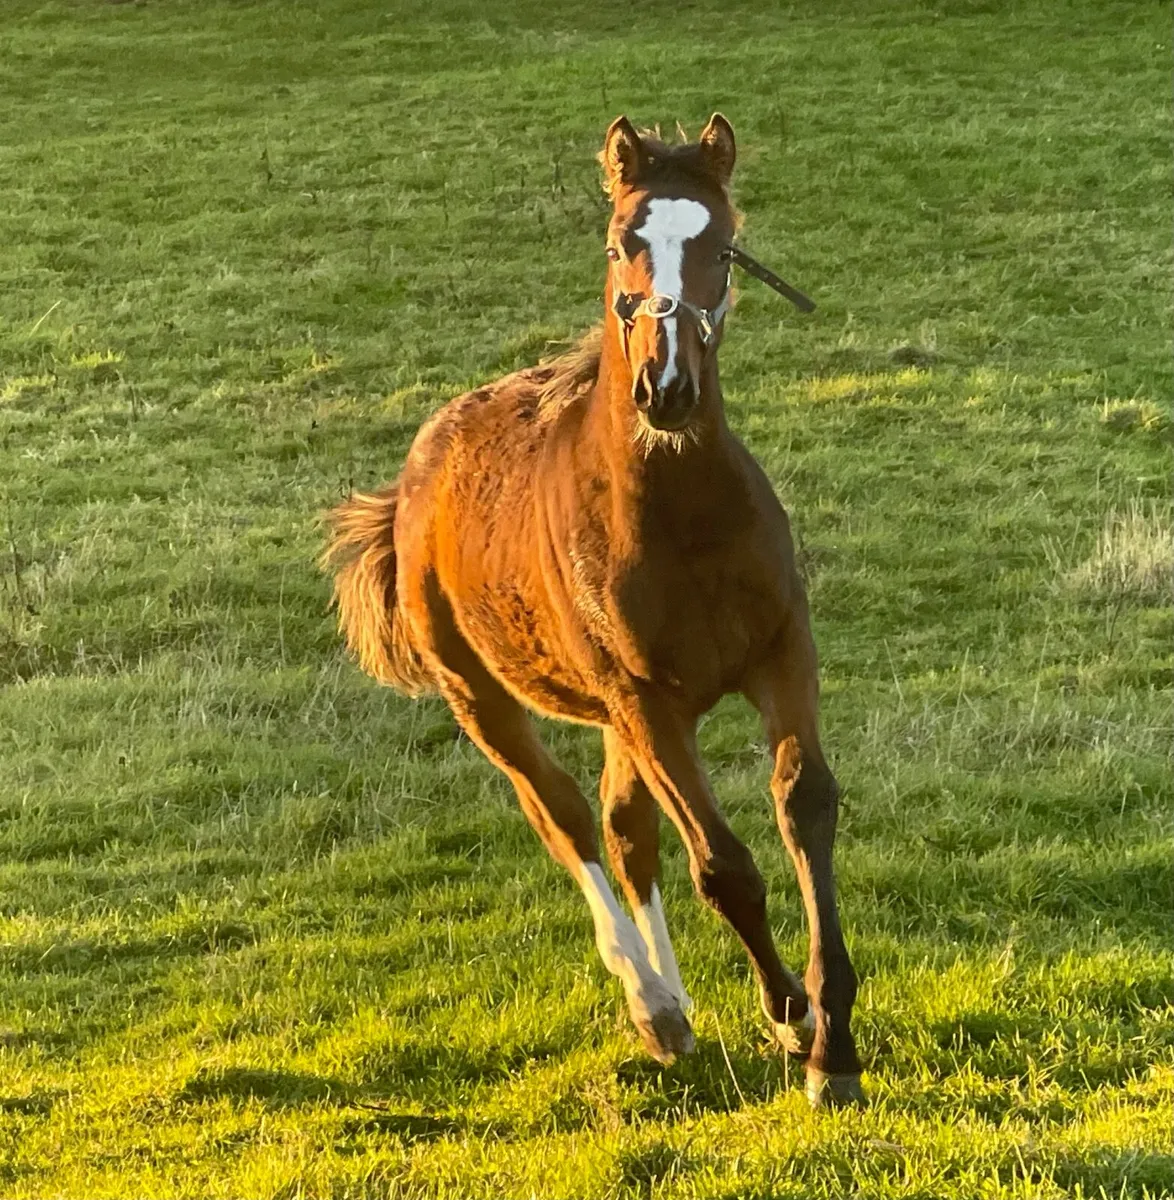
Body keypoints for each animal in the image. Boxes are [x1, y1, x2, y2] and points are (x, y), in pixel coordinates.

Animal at [322, 114, 864, 1107]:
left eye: (722, 245)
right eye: (621, 242)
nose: (666, 389)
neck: (683, 515)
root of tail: (416, 476)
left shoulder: (779, 654)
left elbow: (803, 806)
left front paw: (832, 1042)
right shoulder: (645, 699)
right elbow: (722, 865)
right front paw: (791, 1016)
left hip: (616, 717)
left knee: (625, 830)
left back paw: (677, 1011)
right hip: (486, 698)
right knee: (566, 819)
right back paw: (652, 1007)